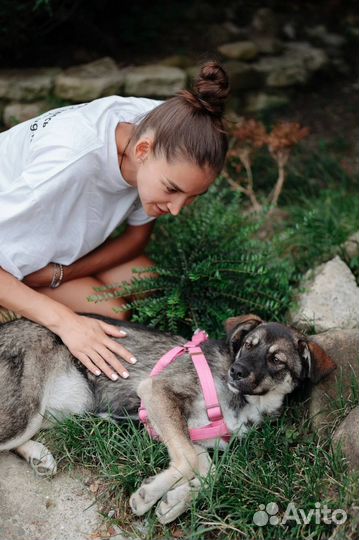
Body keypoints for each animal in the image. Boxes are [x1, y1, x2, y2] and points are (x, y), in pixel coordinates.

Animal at [0, 312, 336, 524]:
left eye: (276, 359)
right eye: (247, 346)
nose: (236, 372)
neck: (246, 402)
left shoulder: (190, 433)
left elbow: (210, 470)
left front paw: (174, 501)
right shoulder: (157, 393)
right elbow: (188, 461)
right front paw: (150, 496)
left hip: (58, 409)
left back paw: (38, 456)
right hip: (26, 407)